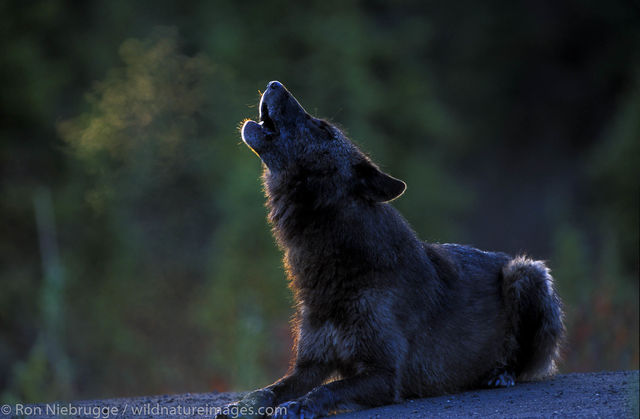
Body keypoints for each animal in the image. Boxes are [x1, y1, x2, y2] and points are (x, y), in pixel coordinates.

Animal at [220, 80, 564, 418]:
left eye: (322, 128)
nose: (273, 83)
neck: (337, 261)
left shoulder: (384, 375)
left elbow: (326, 390)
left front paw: (300, 405)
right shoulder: (310, 365)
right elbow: (269, 389)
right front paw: (242, 404)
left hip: (525, 272)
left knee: (523, 363)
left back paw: (501, 374)